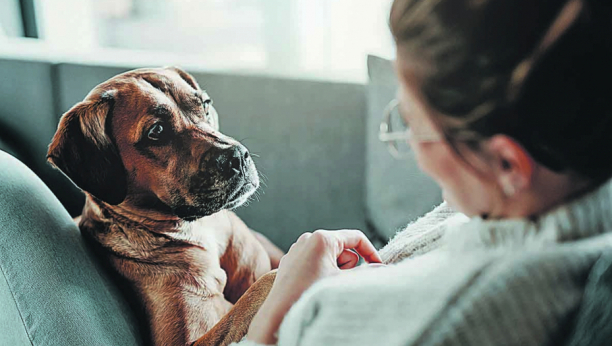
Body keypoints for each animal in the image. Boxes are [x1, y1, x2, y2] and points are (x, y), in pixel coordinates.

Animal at [47, 67, 280, 346]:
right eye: (156, 131)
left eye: (205, 104)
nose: (237, 156)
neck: (200, 230)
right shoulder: (184, 340)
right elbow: (256, 293)